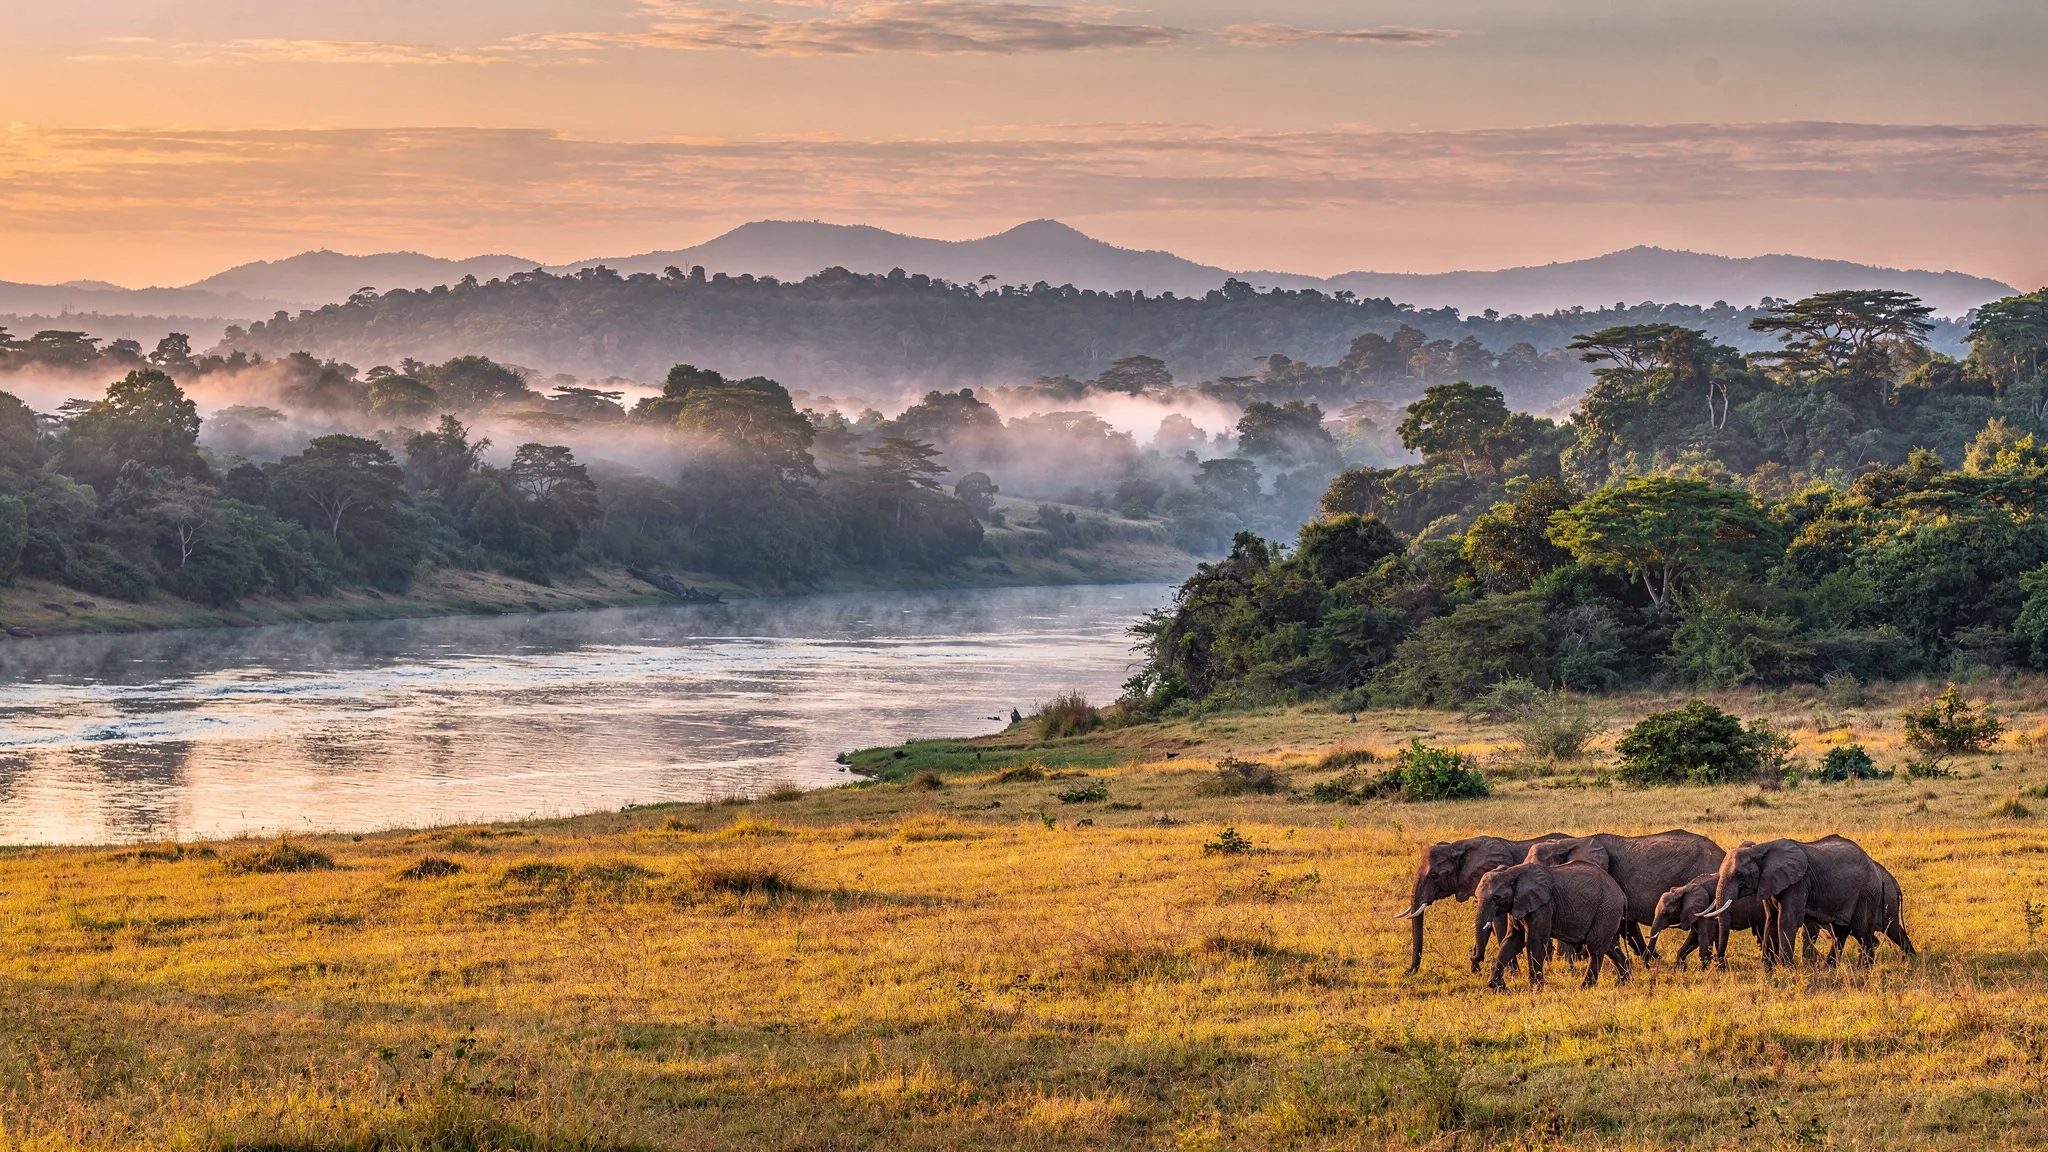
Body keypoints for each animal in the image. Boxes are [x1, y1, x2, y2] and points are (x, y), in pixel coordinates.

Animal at [1395, 833, 1568, 975]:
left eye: (1433, 875)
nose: (1407, 972)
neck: (1457, 848)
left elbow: (1498, 924)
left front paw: (1513, 973)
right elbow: (1486, 923)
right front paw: (1475, 969)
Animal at [1474, 861, 1631, 989]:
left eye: (1496, 898)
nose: (1476, 959)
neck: (1512, 872)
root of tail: (1622, 895)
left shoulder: (1543, 906)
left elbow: (1534, 941)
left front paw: (1536, 989)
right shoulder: (1517, 905)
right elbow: (1512, 940)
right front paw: (1495, 986)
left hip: (1607, 909)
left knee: (1595, 948)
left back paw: (1584, 987)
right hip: (1608, 914)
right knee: (1611, 948)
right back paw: (1623, 983)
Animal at [1700, 835, 1908, 970]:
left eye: (1739, 874)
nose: (1719, 964)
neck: (1761, 849)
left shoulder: (1798, 883)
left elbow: (1787, 921)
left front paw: (1785, 969)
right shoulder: (1769, 883)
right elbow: (1771, 920)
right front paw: (1768, 970)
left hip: (1866, 891)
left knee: (1862, 930)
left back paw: (1865, 969)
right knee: (1842, 931)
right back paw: (1830, 968)